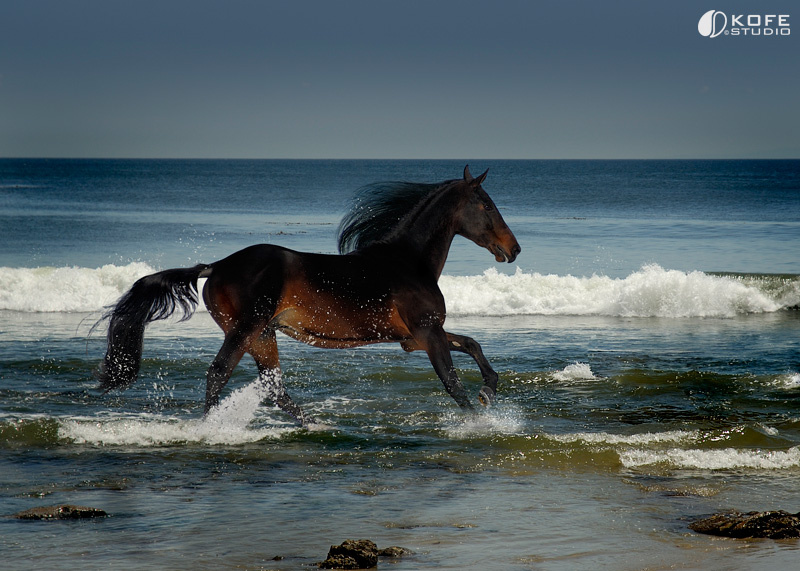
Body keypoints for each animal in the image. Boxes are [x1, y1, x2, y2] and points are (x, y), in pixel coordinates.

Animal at [98, 166, 520, 426]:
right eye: (486, 205)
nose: (513, 249)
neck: (407, 262)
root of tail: (216, 266)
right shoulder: (427, 333)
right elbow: (452, 381)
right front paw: (481, 421)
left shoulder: (413, 339)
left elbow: (473, 344)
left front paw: (488, 391)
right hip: (247, 329)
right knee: (219, 373)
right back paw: (211, 428)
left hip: (262, 335)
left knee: (274, 387)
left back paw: (315, 424)